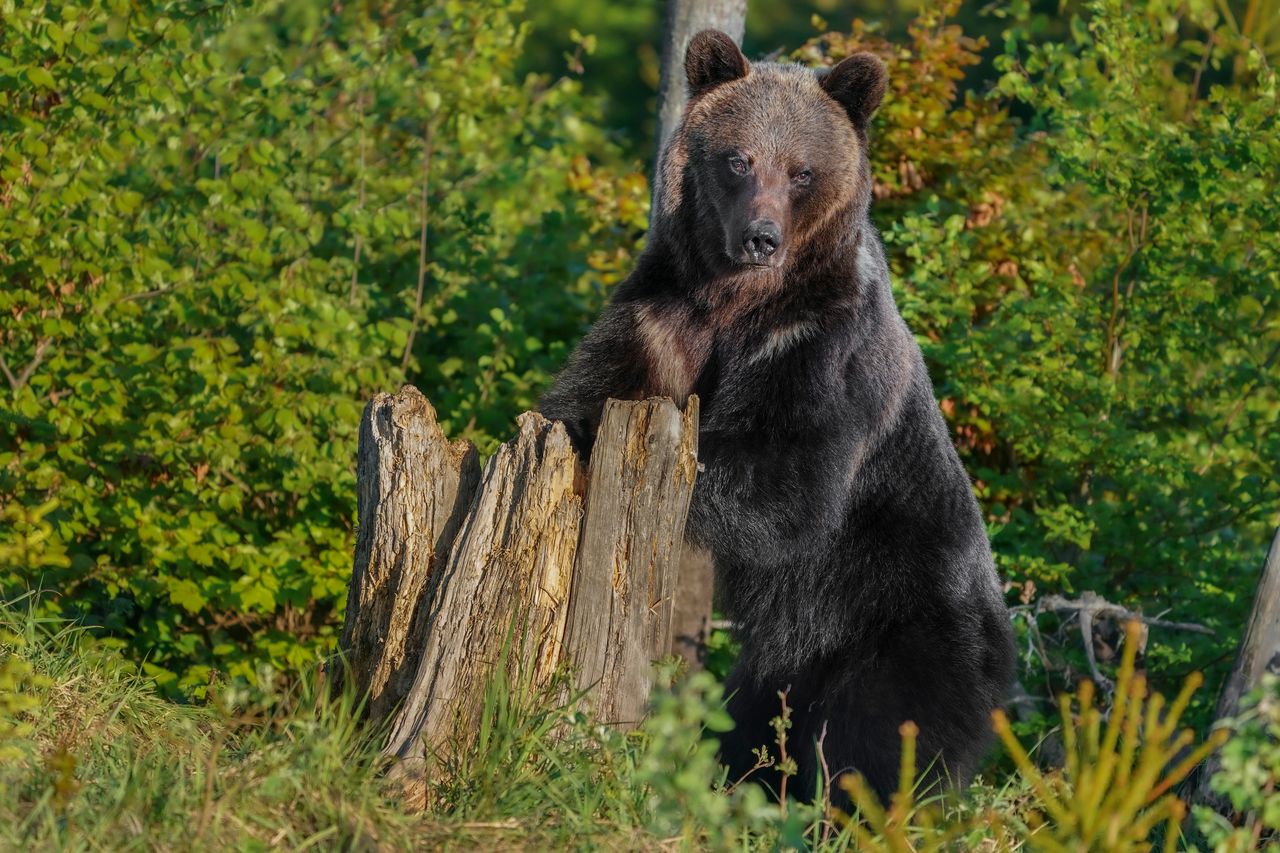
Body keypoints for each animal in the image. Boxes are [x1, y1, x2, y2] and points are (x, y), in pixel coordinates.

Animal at [537, 29, 1008, 799]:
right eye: (738, 158)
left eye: (802, 171)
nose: (761, 237)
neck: (737, 303)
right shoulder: (664, 312)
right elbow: (598, 388)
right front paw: (566, 429)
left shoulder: (820, 347)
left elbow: (784, 482)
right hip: (786, 663)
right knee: (754, 725)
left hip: (898, 621)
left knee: (877, 744)